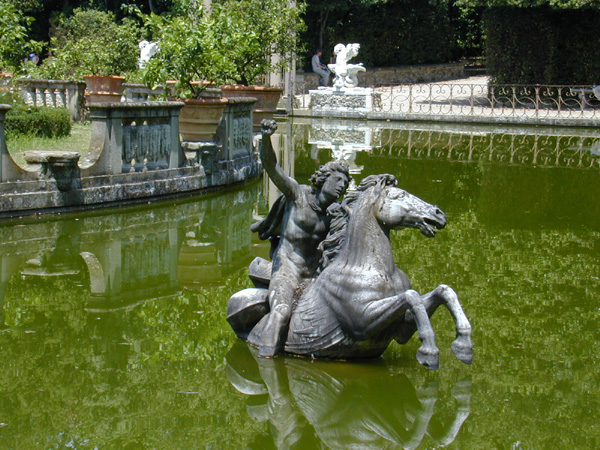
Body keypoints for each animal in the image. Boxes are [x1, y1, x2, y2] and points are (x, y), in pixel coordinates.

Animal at [227, 174, 472, 368]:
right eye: (399, 195)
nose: (439, 214)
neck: (371, 267)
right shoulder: (362, 321)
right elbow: (412, 296)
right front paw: (429, 351)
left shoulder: (402, 328)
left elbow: (442, 291)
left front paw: (464, 345)